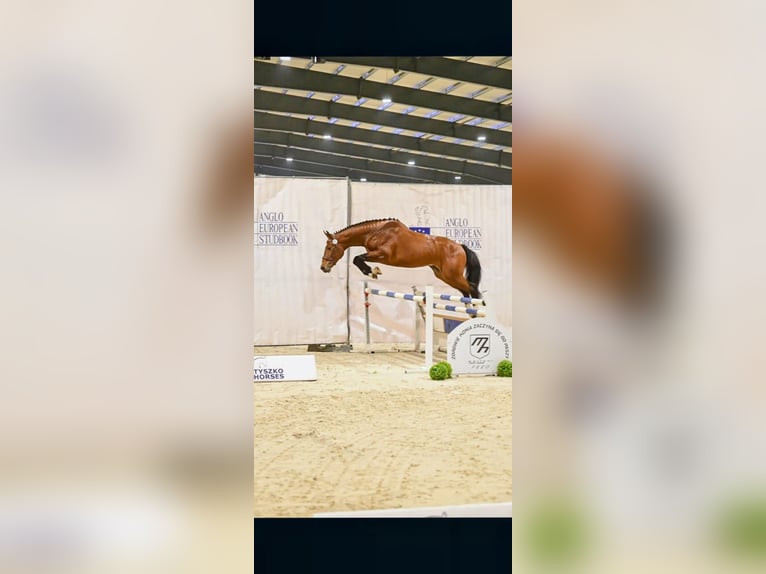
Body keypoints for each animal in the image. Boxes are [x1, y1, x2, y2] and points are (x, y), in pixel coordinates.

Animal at [320, 218, 483, 301]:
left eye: (329, 247)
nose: (323, 267)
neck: (375, 232)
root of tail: (460, 246)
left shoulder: (382, 255)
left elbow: (357, 258)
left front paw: (373, 272)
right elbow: (357, 259)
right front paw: (372, 271)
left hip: (452, 275)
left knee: (472, 288)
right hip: (444, 275)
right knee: (466, 290)